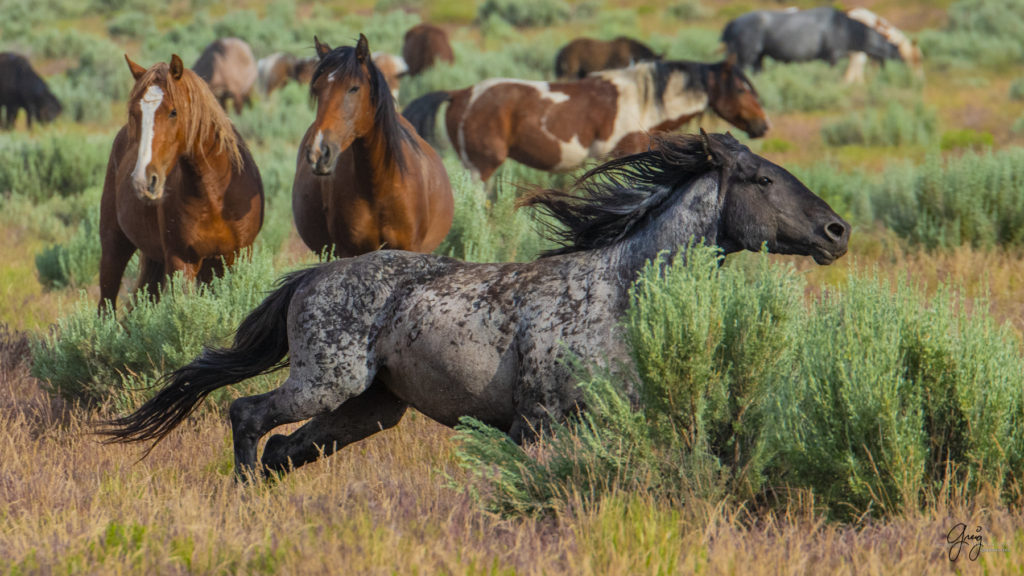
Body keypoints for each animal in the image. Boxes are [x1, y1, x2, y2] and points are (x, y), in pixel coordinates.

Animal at [98, 54, 264, 309]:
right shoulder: (180, 261)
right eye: (135, 113)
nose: (142, 181)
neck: (214, 197)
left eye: (173, 112)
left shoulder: (237, 257)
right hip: (113, 246)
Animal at [99, 132, 851, 477]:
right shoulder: (538, 423)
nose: (836, 231)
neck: (613, 292)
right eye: (760, 178)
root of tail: (311, 280)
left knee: (287, 448)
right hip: (322, 382)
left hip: (369, 409)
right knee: (248, 415)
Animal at [288, 35, 448, 258]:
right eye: (317, 89)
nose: (318, 152)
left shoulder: (408, 248)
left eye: (354, 88)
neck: (379, 187)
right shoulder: (349, 252)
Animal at [399, 56, 770, 180]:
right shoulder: (621, 155)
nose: (763, 125)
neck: (641, 102)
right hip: (481, 168)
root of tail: (460, 93)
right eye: (741, 88)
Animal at [720, 6, 905, 71]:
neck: (846, 29)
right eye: (896, 50)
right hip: (746, 56)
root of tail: (733, 22)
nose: (903, 63)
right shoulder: (833, 55)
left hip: (758, 57)